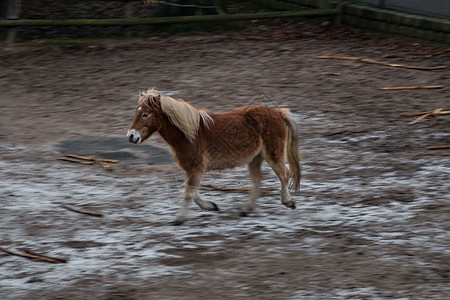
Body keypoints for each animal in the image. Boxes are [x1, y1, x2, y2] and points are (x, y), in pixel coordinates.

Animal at [126, 89, 300, 225]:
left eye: (145, 114)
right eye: (135, 113)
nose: (131, 136)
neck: (190, 135)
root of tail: (277, 113)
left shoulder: (196, 169)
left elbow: (189, 194)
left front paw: (180, 219)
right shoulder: (192, 171)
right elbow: (193, 193)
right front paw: (211, 206)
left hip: (273, 155)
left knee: (284, 174)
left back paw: (288, 202)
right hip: (255, 159)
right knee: (258, 181)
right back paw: (246, 209)